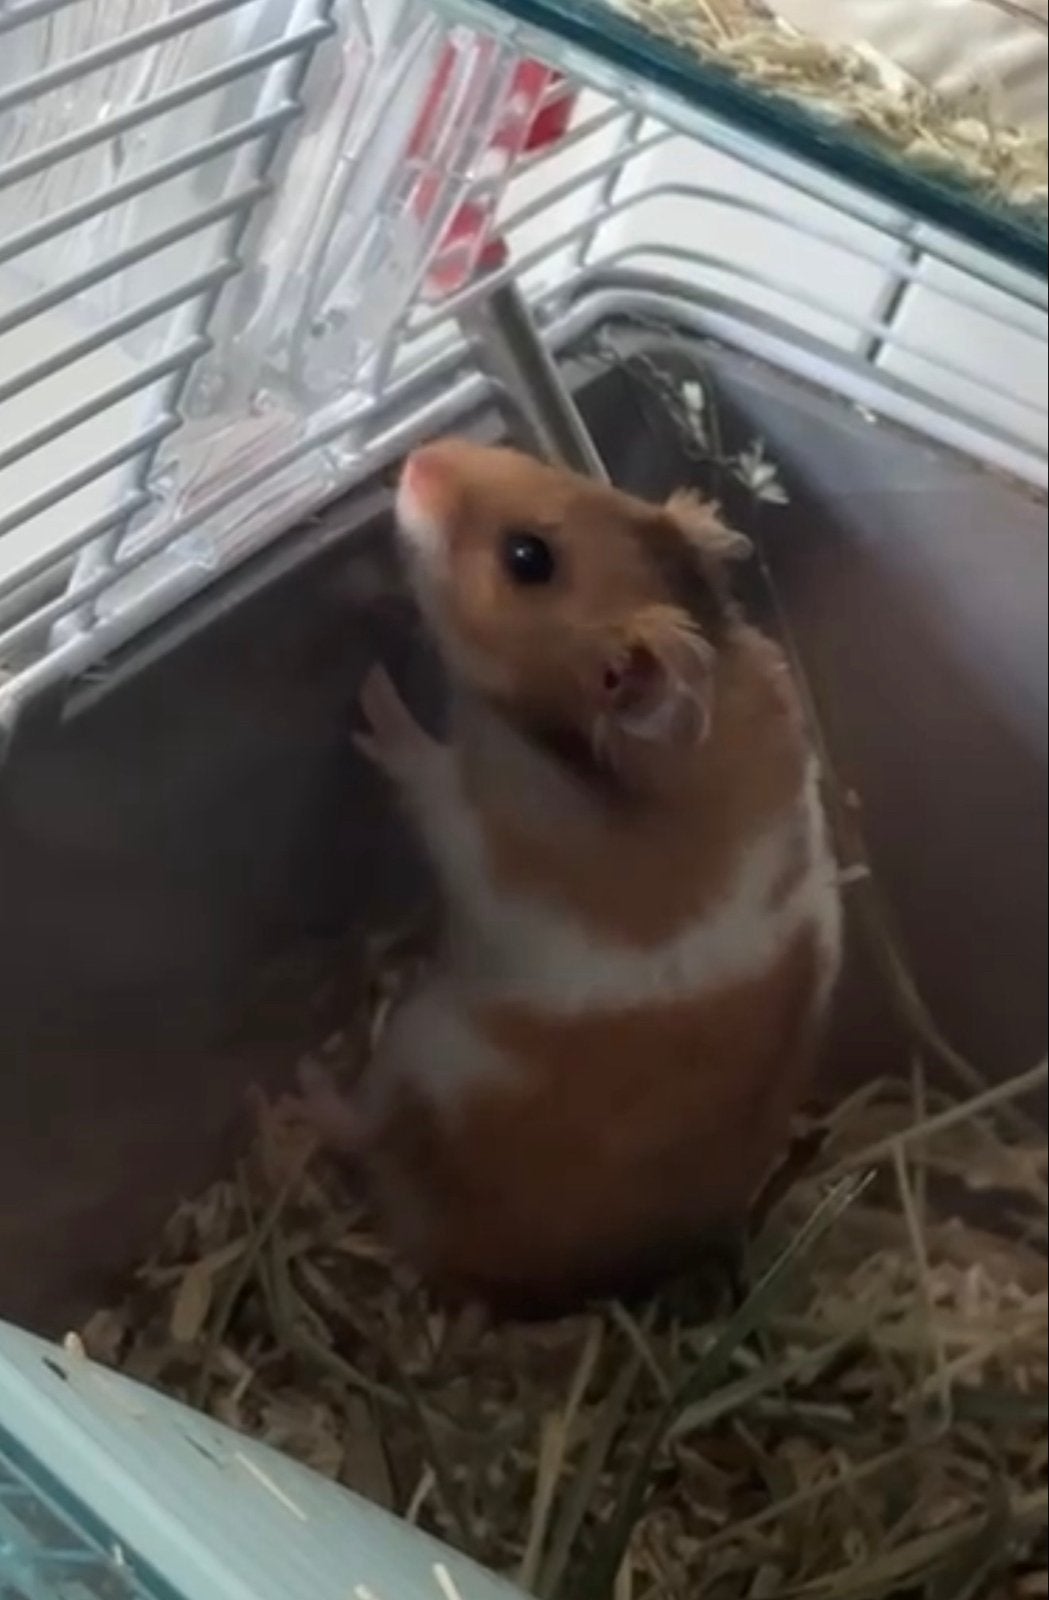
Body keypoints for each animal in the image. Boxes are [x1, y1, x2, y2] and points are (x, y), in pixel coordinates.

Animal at [299, 439, 842, 1315]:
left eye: (528, 558)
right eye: (573, 476)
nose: (418, 457)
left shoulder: (484, 835)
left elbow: (425, 771)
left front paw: (376, 697)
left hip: (427, 1056)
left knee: (366, 1129)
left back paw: (301, 1091)